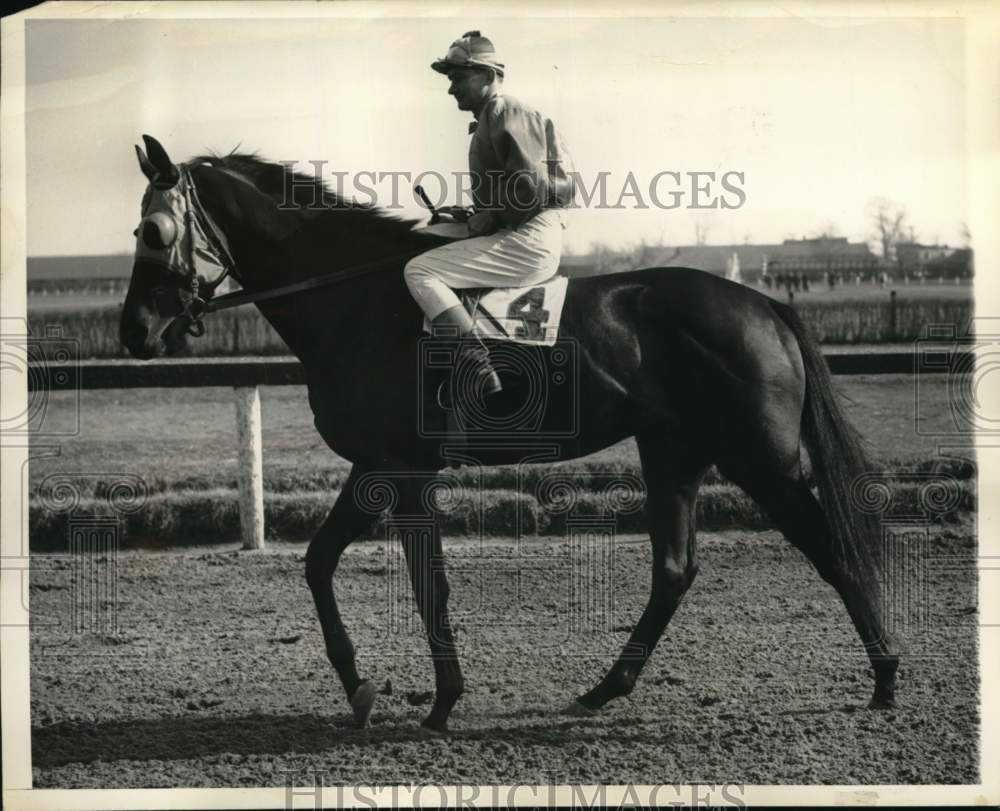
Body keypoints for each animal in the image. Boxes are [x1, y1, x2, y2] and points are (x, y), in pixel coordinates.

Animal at [119, 135, 900, 736]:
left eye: (154, 231)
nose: (133, 331)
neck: (356, 301)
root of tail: (764, 303)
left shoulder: (400, 468)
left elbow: (426, 585)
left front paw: (440, 702)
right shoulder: (379, 467)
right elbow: (320, 563)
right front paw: (362, 688)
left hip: (758, 456)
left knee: (831, 547)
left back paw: (887, 677)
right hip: (673, 452)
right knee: (675, 569)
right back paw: (603, 688)